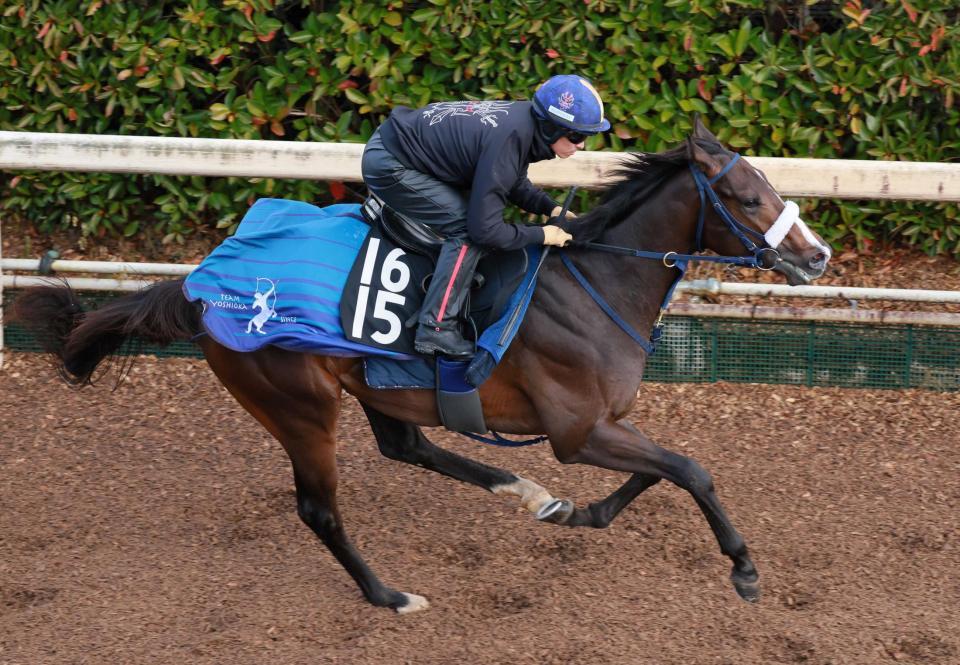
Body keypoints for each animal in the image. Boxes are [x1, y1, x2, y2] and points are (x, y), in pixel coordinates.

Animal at [11, 119, 828, 612]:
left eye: (768, 185)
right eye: (746, 196)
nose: (817, 255)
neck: (596, 280)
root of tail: (201, 279)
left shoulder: (602, 424)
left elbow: (661, 470)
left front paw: (584, 511)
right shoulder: (577, 431)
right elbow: (691, 469)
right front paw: (744, 569)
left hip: (374, 382)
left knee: (408, 446)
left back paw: (529, 493)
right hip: (299, 403)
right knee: (320, 508)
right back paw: (390, 595)